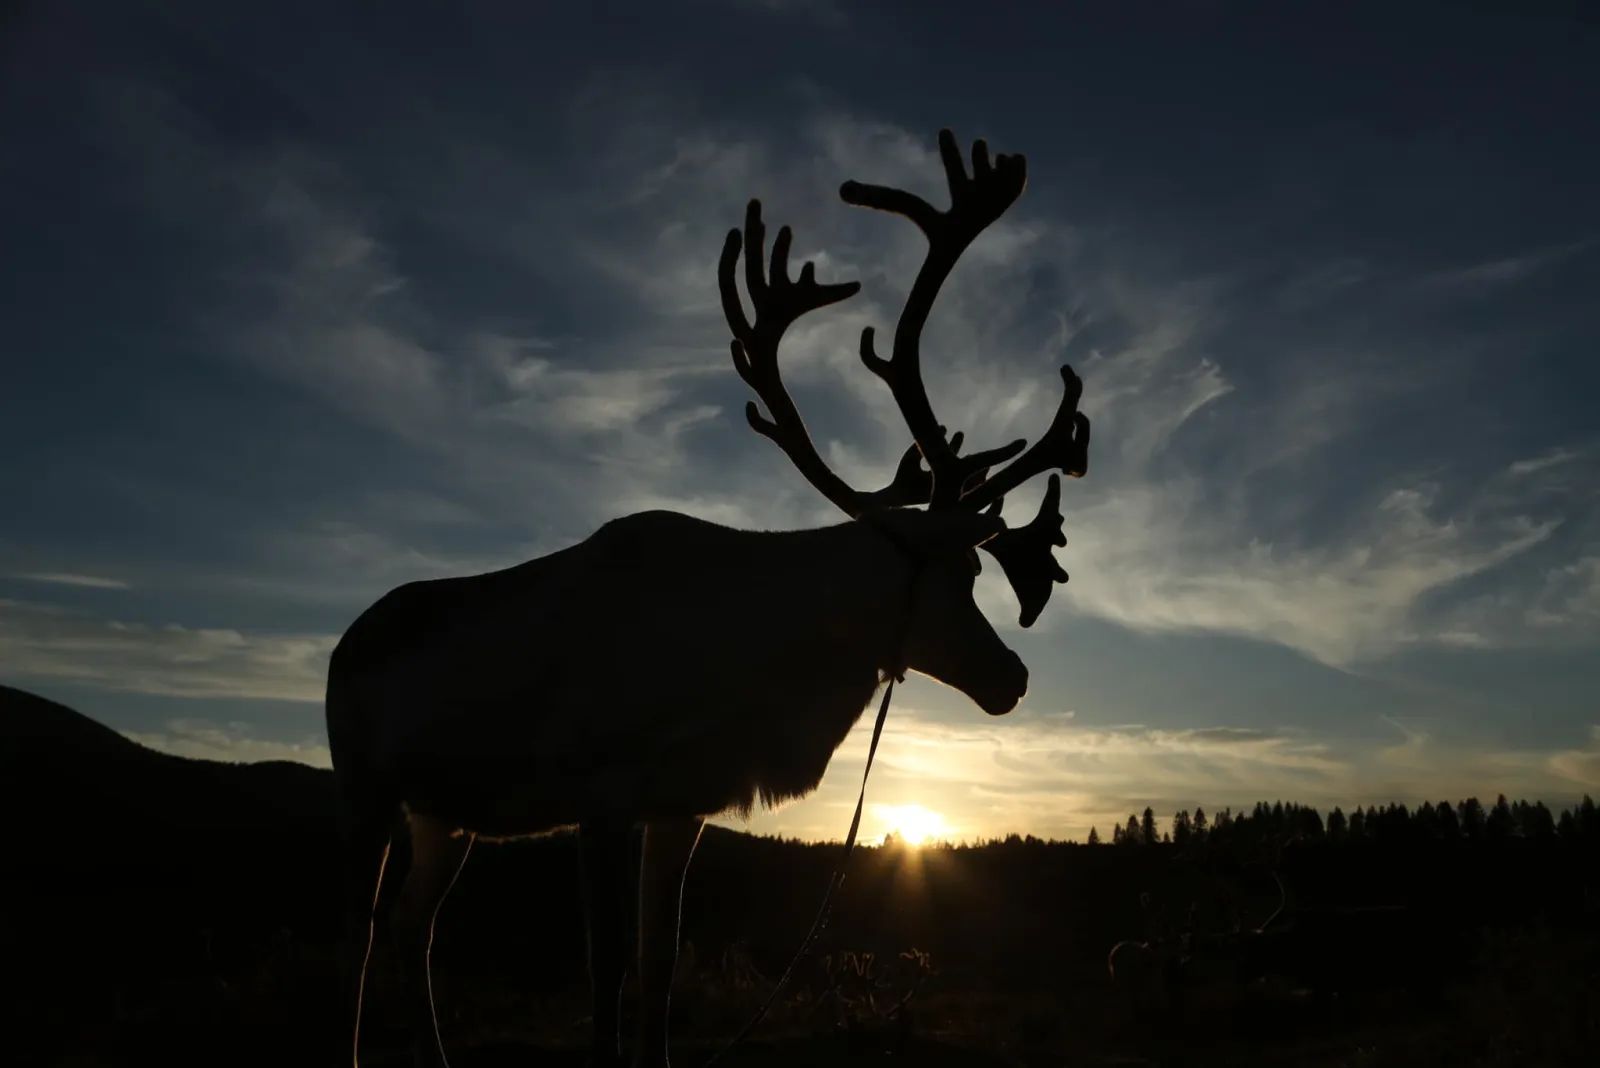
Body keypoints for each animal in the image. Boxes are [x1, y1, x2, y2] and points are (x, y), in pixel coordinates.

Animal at [325, 127, 1092, 1068]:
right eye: (961, 572)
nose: (1013, 676)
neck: (742, 668)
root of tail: (346, 639)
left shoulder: (678, 805)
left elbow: (659, 966)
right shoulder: (601, 795)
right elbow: (607, 971)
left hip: (444, 813)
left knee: (412, 927)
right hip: (364, 786)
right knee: (357, 936)